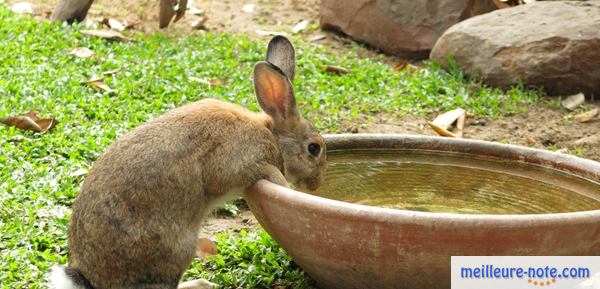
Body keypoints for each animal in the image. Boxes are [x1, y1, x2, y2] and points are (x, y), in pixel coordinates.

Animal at [48, 36, 326, 288]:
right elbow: (265, 171)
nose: (316, 185)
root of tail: (88, 279)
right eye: (314, 148)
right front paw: (285, 187)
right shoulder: (238, 163)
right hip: (176, 249)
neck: (272, 135)